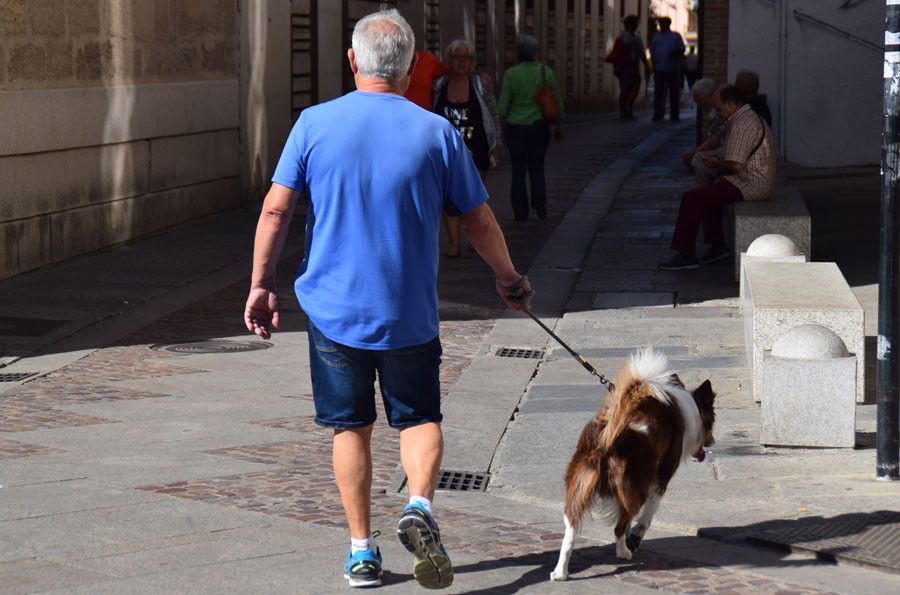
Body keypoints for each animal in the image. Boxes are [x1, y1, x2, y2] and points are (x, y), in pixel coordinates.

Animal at [548, 350, 716, 584]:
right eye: (711, 425)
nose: (713, 442)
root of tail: (606, 441)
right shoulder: (660, 480)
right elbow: (645, 519)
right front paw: (634, 538)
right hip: (636, 488)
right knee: (619, 526)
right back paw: (624, 552)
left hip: (580, 486)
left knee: (571, 530)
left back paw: (561, 573)